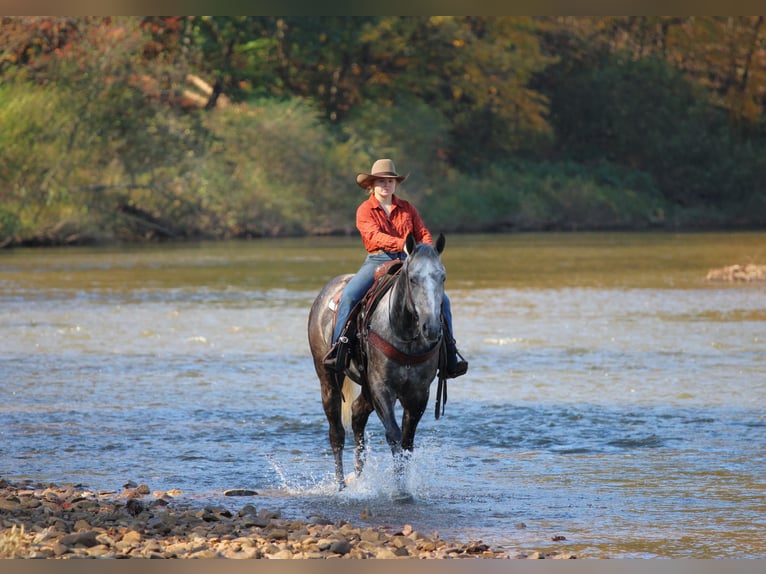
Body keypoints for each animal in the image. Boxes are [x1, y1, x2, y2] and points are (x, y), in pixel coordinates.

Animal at [307, 232, 447, 499]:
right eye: (412, 279)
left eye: (442, 276)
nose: (432, 328)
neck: (403, 333)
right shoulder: (382, 387)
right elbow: (393, 434)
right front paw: (399, 490)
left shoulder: (418, 394)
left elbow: (407, 441)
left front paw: (403, 486)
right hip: (328, 379)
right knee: (336, 433)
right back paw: (340, 485)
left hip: (365, 387)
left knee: (357, 415)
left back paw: (359, 477)